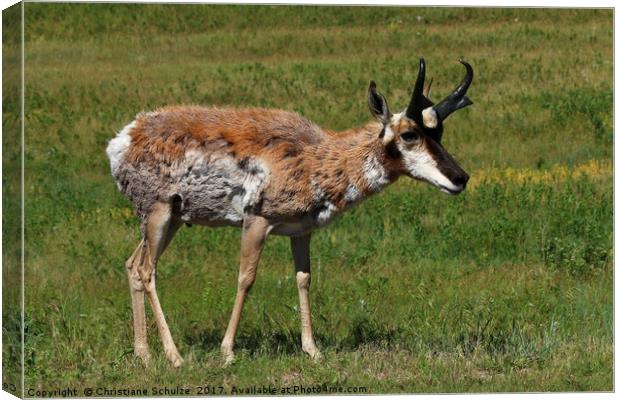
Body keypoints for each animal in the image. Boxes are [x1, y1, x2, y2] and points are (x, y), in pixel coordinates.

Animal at [106, 57, 474, 368]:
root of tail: (127, 136)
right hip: (158, 213)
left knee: (132, 265)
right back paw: (174, 356)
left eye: (439, 132)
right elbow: (246, 278)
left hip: (172, 220)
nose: (461, 178)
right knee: (146, 270)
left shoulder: (301, 232)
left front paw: (312, 350)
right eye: (410, 134)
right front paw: (228, 352)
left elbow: (304, 278)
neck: (316, 155)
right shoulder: (257, 221)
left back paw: (144, 354)